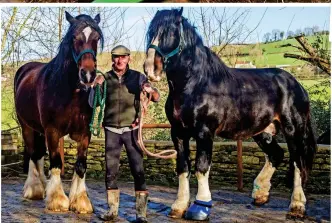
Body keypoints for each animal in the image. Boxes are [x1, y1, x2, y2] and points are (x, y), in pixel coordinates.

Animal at [13, 12, 104, 214]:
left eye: (96, 38)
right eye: (74, 38)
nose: (88, 74)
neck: (70, 92)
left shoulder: (84, 132)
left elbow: (81, 165)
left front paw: (80, 201)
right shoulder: (52, 131)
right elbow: (55, 162)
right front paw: (57, 200)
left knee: (38, 153)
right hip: (27, 127)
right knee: (33, 153)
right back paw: (34, 189)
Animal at [143, 7, 316, 220]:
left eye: (171, 31)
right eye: (151, 32)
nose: (151, 68)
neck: (196, 85)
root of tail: (296, 84)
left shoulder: (204, 132)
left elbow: (201, 167)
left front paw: (201, 207)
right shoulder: (178, 133)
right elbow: (183, 168)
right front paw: (179, 206)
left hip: (293, 129)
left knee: (298, 161)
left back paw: (297, 206)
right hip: (263, 131)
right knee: (276, 155)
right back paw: (260, 194)